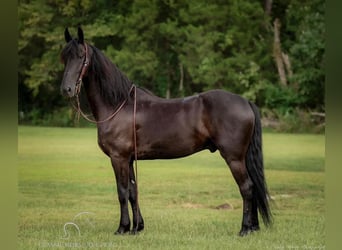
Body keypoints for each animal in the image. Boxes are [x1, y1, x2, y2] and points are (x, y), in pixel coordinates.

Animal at [59, 27, 272, 236]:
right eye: (64, 57)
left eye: (81, 56)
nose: (66, 89)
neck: (118, 106)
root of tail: (245, 101)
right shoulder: (129, 159)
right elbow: (132, 192)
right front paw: (137, 227)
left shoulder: (118, 158)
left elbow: (122, 192)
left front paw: (122, 228)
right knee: (252, 187)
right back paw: (253, 227)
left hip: (234, 158)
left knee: (246, 188)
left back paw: (244, 229)